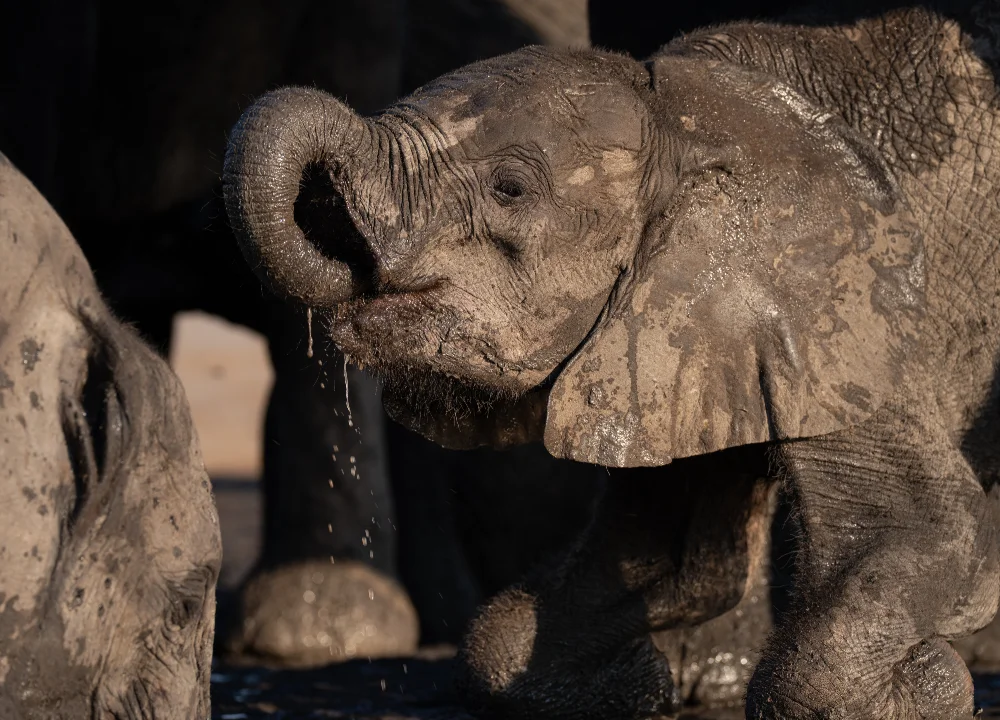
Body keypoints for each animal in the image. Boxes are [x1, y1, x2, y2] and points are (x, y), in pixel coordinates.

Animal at [223, 1, 1000, 717]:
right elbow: (664, 569)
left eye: (510, 188)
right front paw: (631, 685)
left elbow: (932, 530)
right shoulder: (674, 339)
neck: (689, 116)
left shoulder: (852, 316)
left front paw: (927, 685)